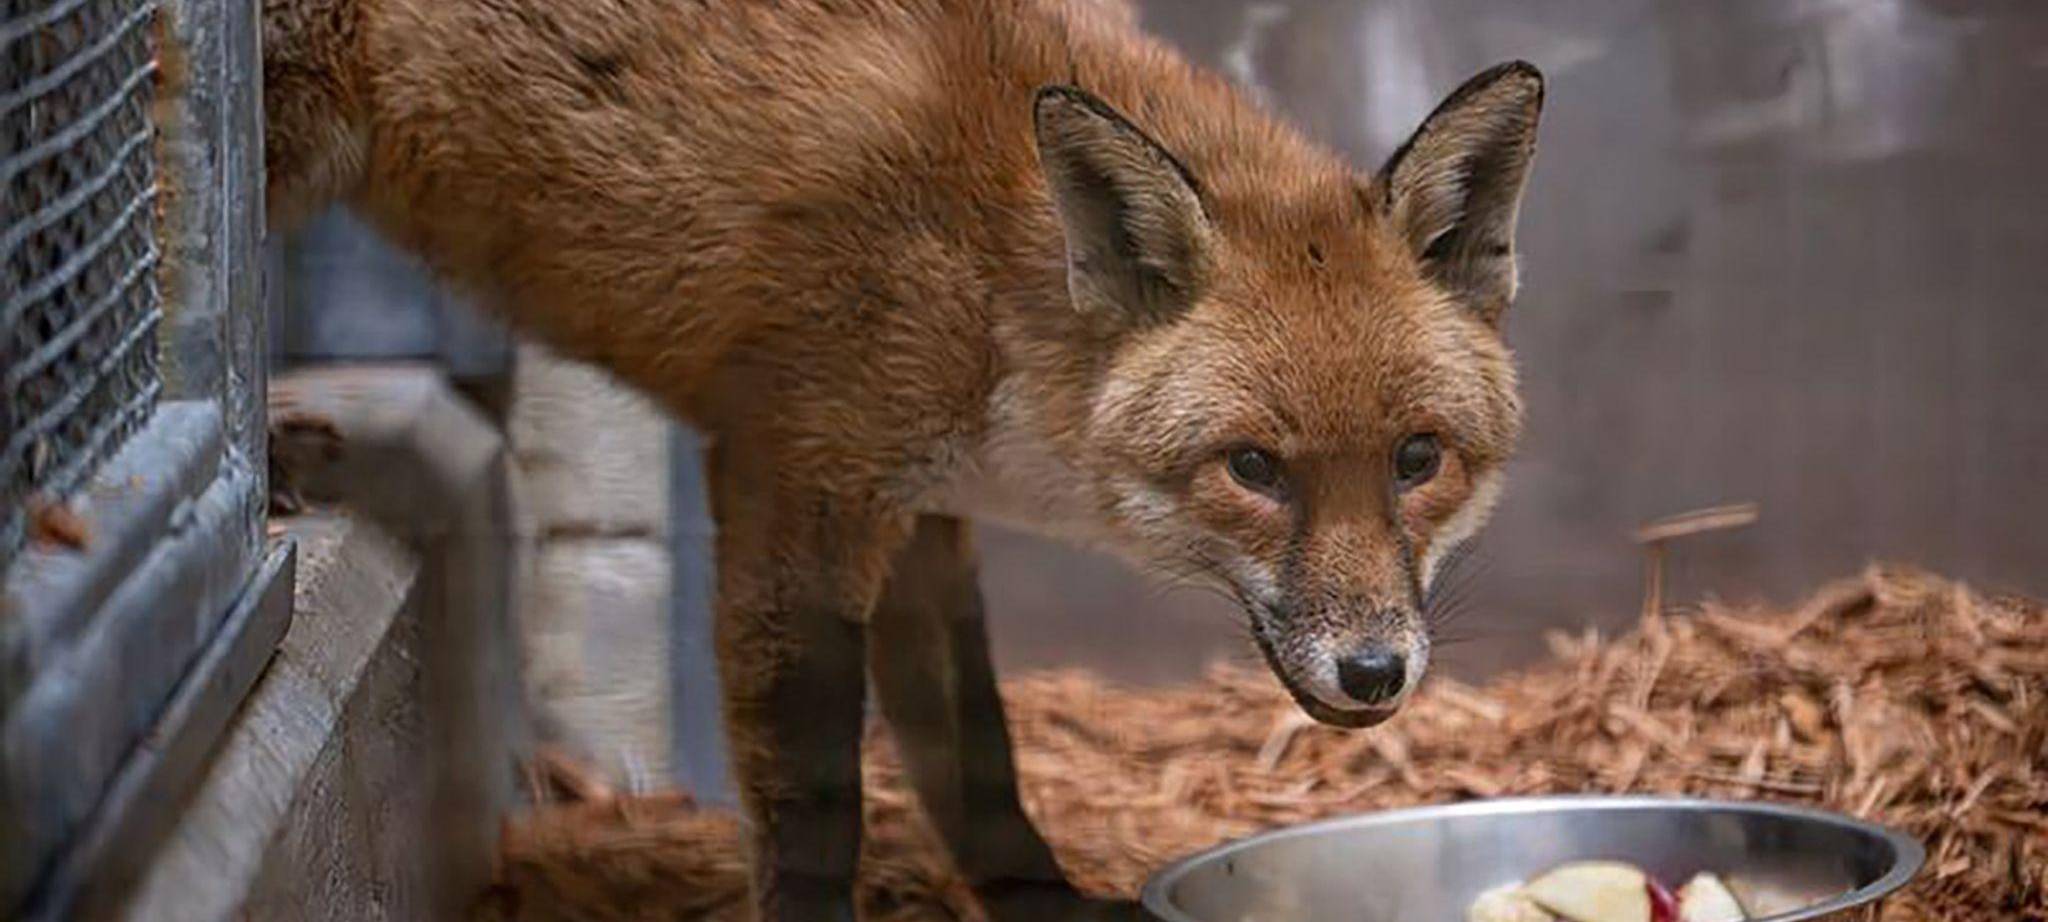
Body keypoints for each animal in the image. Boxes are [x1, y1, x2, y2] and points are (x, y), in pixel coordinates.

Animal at [258, 0, 1543, 918]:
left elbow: (973, 753)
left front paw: (1041, 901)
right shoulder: (793, 480)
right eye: (1254, 468)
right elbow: (818, 799)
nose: (1374, 673)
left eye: (1416, 457)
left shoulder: (923, 511)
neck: (988, 272)